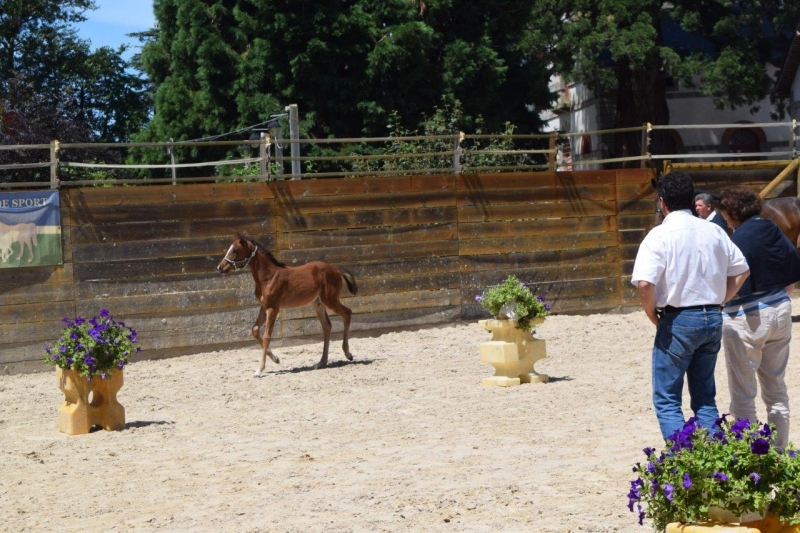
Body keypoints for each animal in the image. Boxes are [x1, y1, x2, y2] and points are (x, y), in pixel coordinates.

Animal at [217, 232, 358, 374]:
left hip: (330, 300)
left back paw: (348, 354)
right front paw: (276, 359)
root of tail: (336, 269)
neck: (268, 277)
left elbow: (267, 336)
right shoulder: (264, 306)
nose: (220, 267)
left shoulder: (273, 308)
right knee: (327, 326)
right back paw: (321, 362)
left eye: (235, 250)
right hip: (318, 304)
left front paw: (260, 369)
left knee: (347, 313)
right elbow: (255, 330)